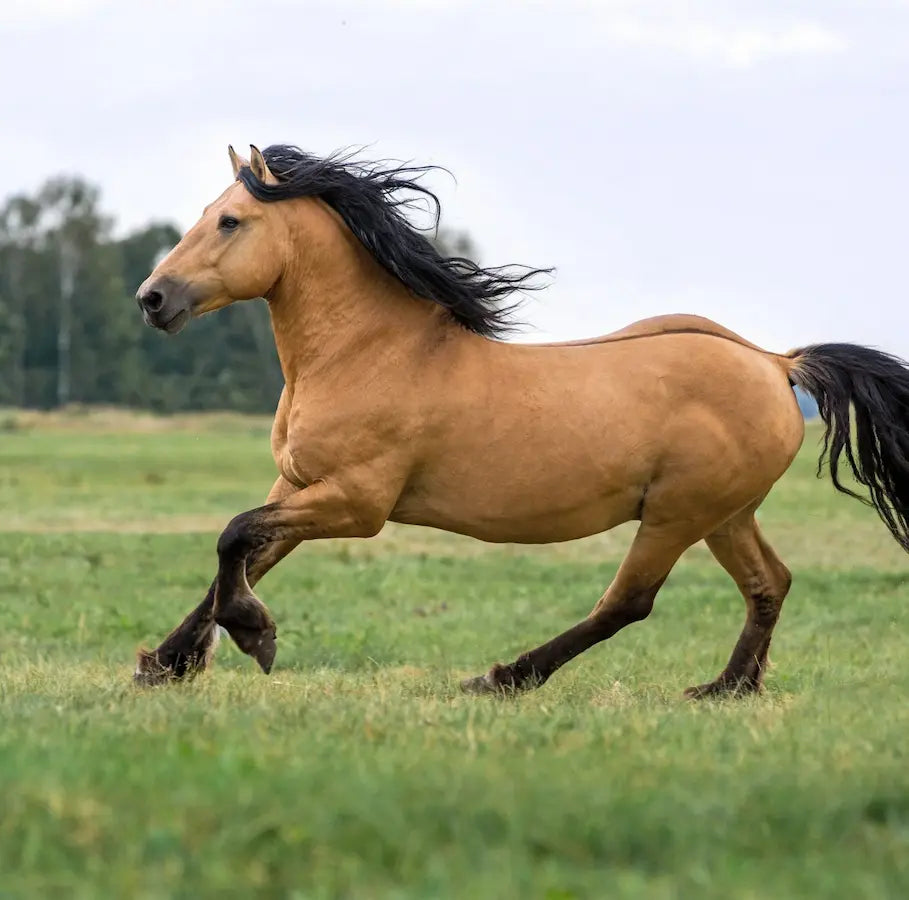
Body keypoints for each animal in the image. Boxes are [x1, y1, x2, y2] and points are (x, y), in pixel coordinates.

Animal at [133, 144, 909, 698]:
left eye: (230, 221)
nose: (152, 298)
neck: (369, 351)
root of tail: (776, 364)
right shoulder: (298, 486)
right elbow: (244, 554)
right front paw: (166, 663)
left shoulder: (356, 503)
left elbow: (235, 539)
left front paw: (253, 637)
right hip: (726, 514)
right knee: (768, 583)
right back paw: (727, 688)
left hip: (677, 514)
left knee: (627, 603)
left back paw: (503, 677)